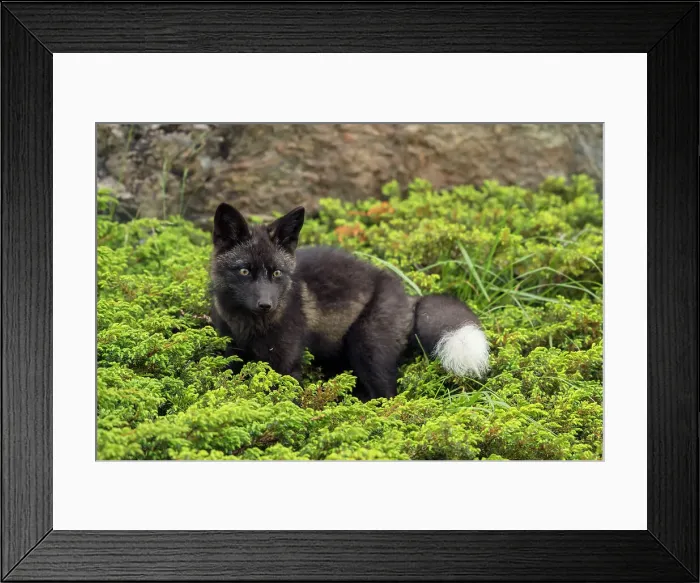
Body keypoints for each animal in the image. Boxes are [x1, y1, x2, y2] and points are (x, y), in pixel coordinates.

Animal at [209, 202, 490, 401]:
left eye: (277, 273)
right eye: (244, 271)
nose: (266, 305)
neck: (248, 326)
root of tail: (409, 298)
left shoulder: (286, 364)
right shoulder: (231, 356)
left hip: (367, 349)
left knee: (389, 395)